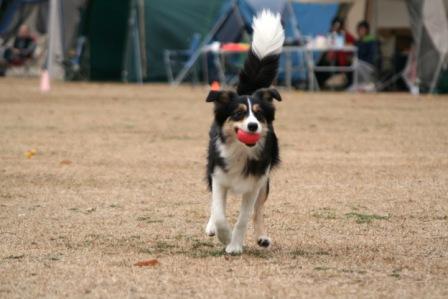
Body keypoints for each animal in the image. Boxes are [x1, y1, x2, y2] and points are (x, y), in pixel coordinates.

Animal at [206, 11, 286, 255]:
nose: (252, 127)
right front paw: (224, 236)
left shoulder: (255, 183)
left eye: (258, 115)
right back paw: (211, 227)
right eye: (239, 113)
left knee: (258, 210)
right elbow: (219, 212)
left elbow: (244, 217)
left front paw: (234, 244)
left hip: (265, 182)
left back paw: (262, 237)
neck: (241, 151)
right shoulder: (218, 177)